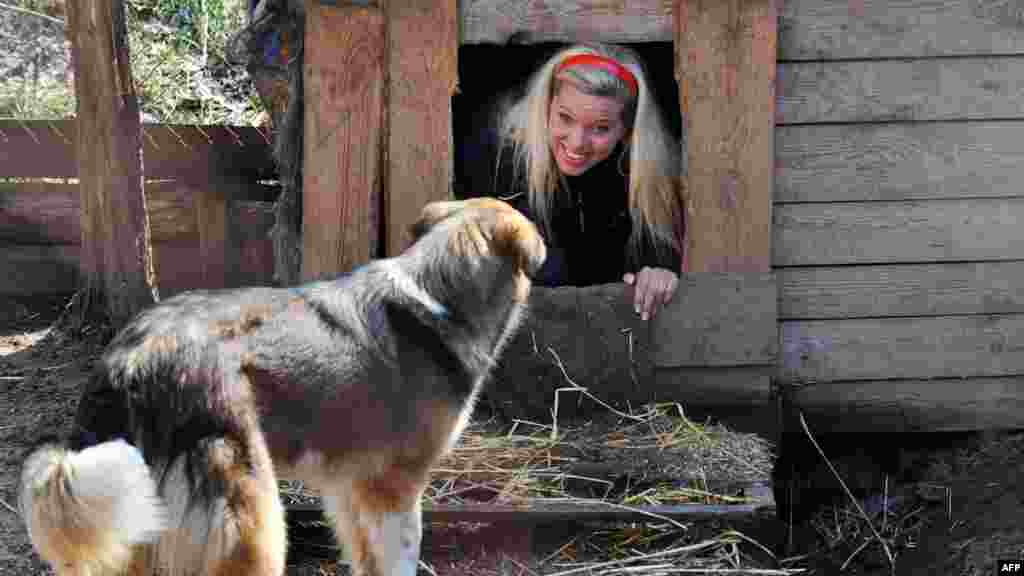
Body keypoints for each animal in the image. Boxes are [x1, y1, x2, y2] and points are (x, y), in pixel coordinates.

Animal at [16, 198, 544, 573]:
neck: (439, 298)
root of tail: (127, 361)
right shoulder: (394, 486)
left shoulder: (351, 489)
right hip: (251, 519)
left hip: (143, 521)